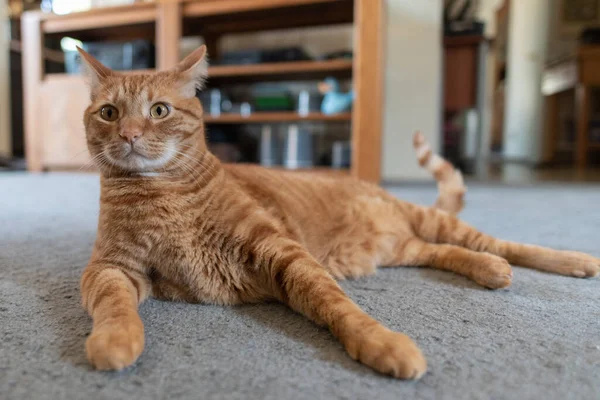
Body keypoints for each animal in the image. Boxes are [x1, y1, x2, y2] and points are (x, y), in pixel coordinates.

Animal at [79, 46, 600, 378]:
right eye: (108, 113)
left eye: (159, 110)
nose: (128, 134)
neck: (160, 193)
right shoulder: (111, 267)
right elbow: (113, 305)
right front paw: (115, 340)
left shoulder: (280, 250)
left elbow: (336, 305)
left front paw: (380, 342)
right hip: (403, 249)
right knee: (443, 252)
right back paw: (491, 270)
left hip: (433, 220)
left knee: (499, 242)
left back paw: (573, 261)